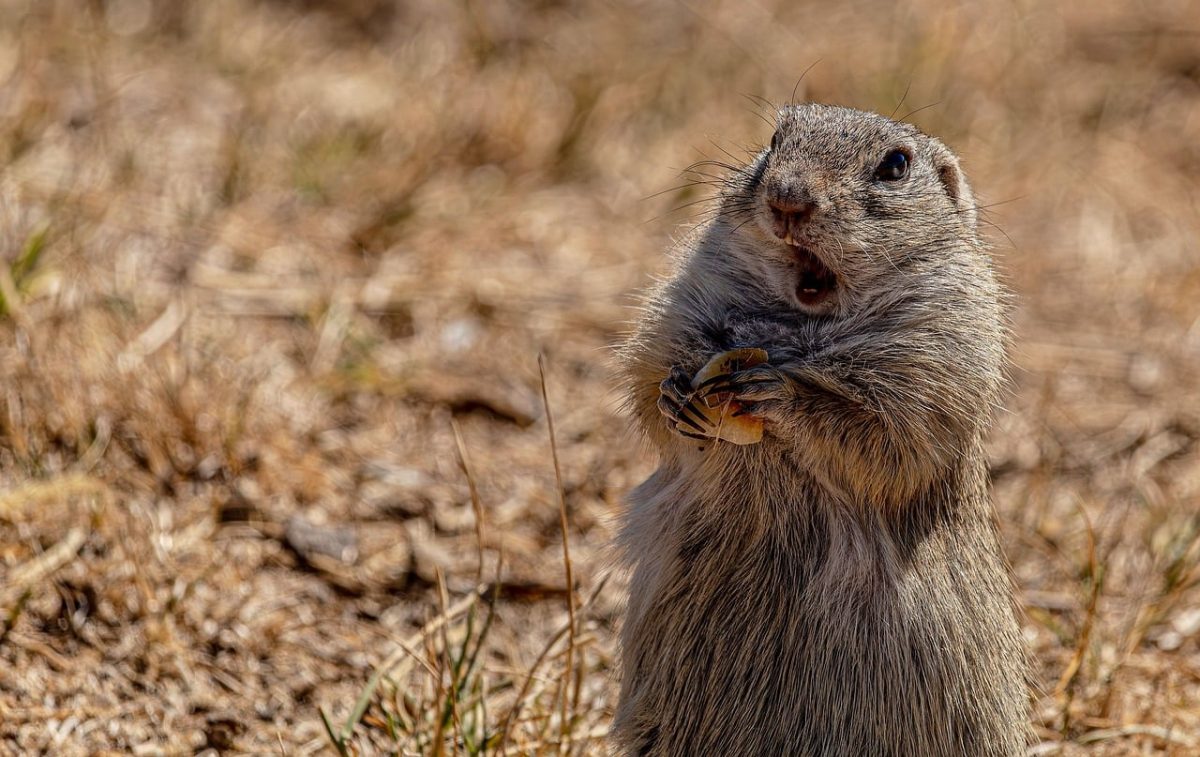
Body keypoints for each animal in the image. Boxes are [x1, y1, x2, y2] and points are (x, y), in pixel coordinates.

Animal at [613, 104, 1028, 756]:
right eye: (774, 139)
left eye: (895, 165)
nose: (788, 197)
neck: (798, 325)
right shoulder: (679, 305)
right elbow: (646, 370)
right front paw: (676, 396)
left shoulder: (942, 352)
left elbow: (889, 438)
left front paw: (778, 392)